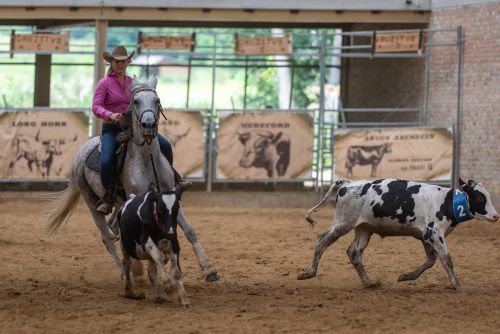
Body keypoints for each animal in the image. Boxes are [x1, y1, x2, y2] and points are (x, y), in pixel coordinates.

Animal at [46, 75, 218, 282]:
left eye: (157, 100)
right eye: (135, 101)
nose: (149, 124)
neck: (148, 161)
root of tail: (80, 154)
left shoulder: (171, 198)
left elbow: (189, 230)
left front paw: (209, 269)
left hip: (118, 202)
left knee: (114, 225)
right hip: (91, 202)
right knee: (107, 237)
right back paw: (126, 271)